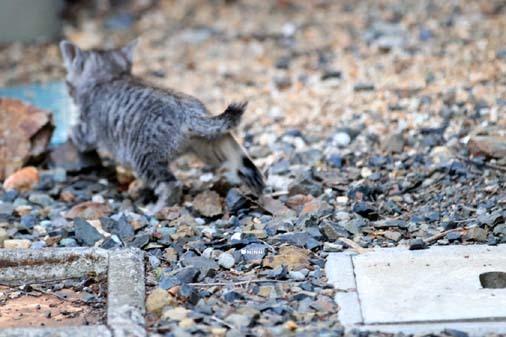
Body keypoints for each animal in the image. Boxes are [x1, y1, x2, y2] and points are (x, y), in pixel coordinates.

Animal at [59, 38, 264, 213]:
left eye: (68, 83)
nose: (68, 91)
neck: (111, 77)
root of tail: (189, 114)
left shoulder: (88, 129)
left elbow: (79, 135)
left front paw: (69, 132)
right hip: (212, 143)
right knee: (243, 163)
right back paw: (259, 189)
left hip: (145, 159)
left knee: (171, 185)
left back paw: (155, 209)